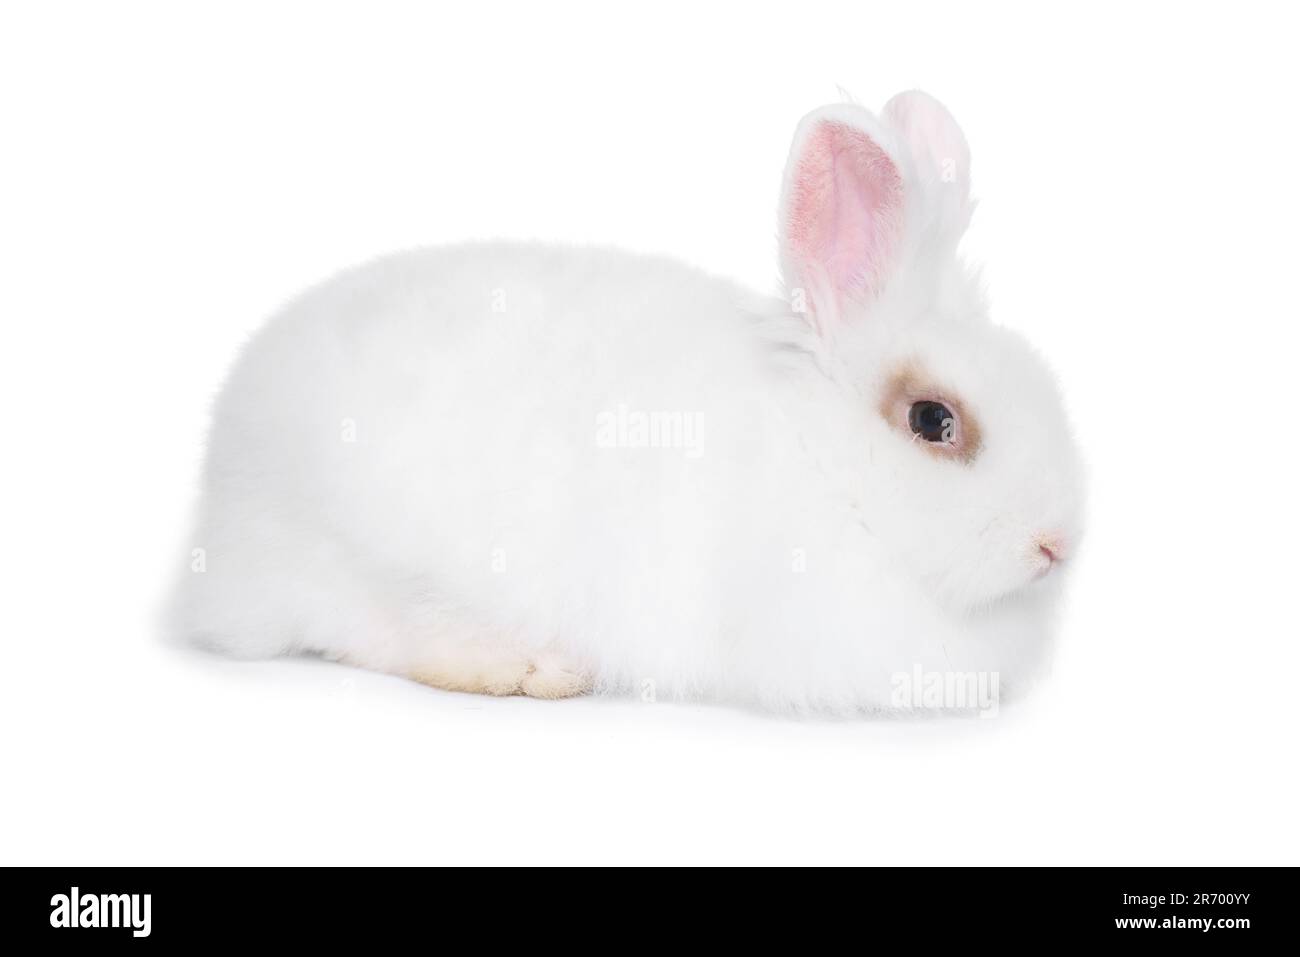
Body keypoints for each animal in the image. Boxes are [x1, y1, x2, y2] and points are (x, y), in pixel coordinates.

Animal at [169, 90, 1085, 714]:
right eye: (934, 420)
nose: (1056, 545)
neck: (824, 466)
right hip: (365, 555)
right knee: (375, 633)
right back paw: (532, 668)